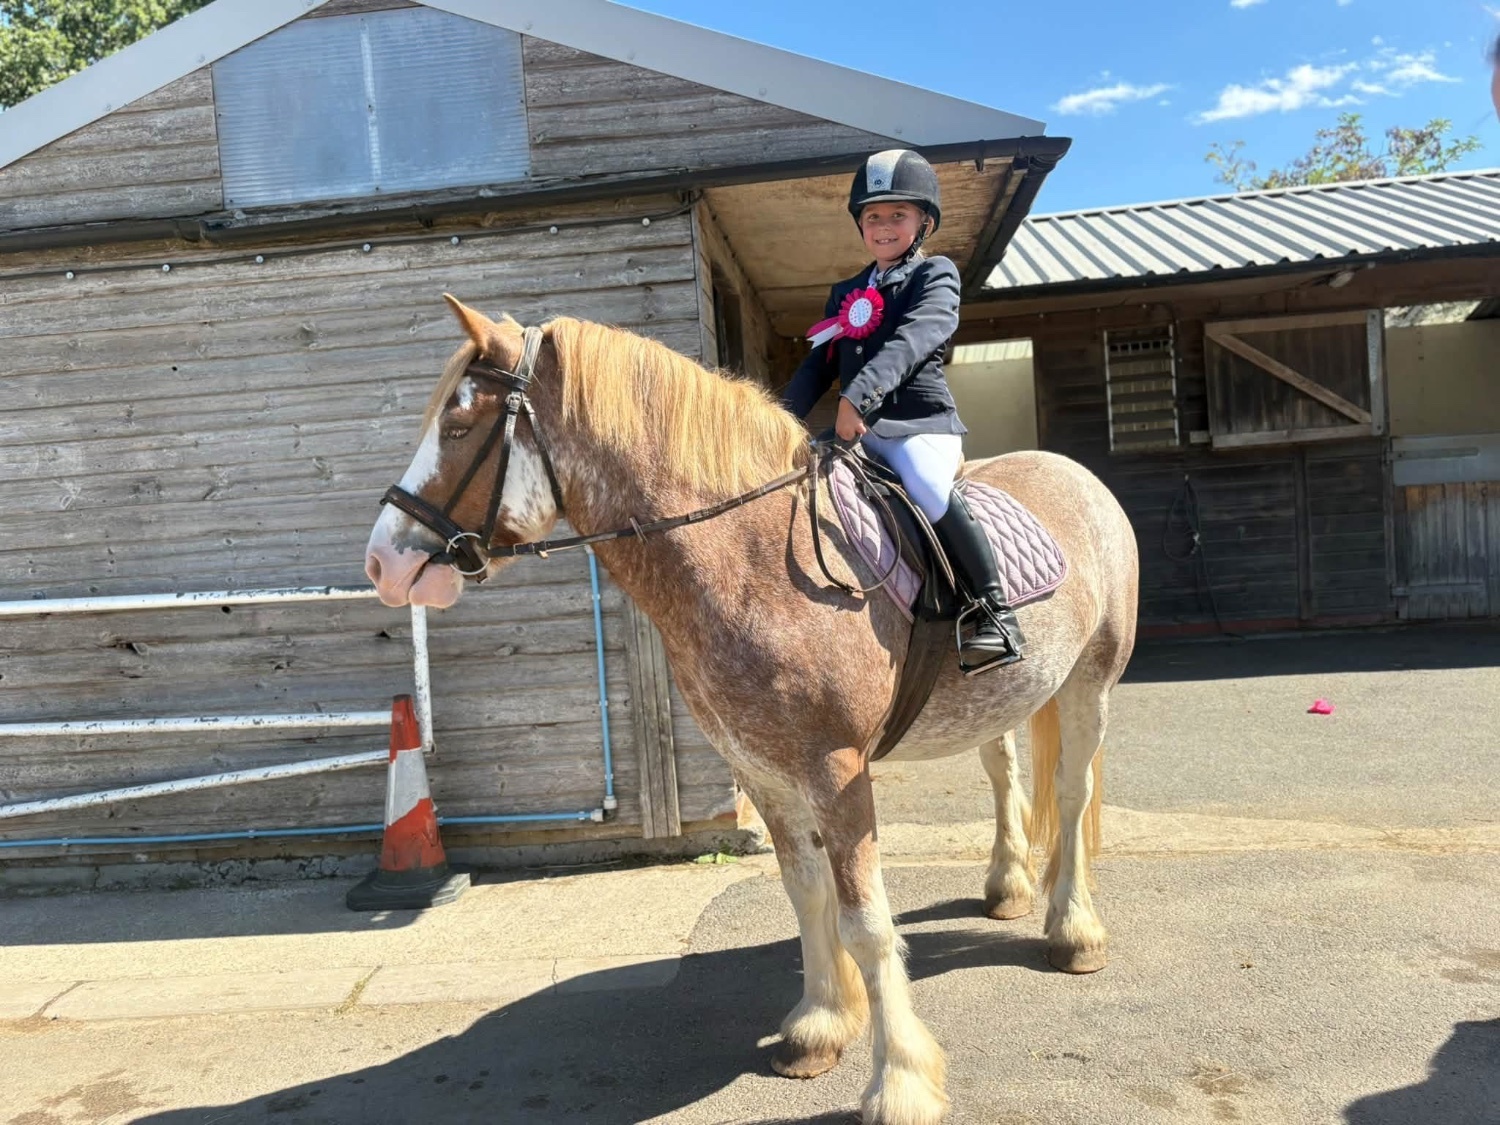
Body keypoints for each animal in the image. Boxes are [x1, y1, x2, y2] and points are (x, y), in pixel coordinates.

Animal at [364, 298, 1140, 1125]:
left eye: (458, 424)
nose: (382, 563)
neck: (753, 559)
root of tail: (1073, 473)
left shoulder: (836, 771)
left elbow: (866, 921)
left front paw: (898, 1079)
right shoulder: (763, 768)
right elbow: (806, 893)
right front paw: (820, 1027)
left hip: (1091, 680)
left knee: (1071, 794)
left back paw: (1074, 930)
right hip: (1006, 697)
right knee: (1006, 774)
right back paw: (1009, 886)